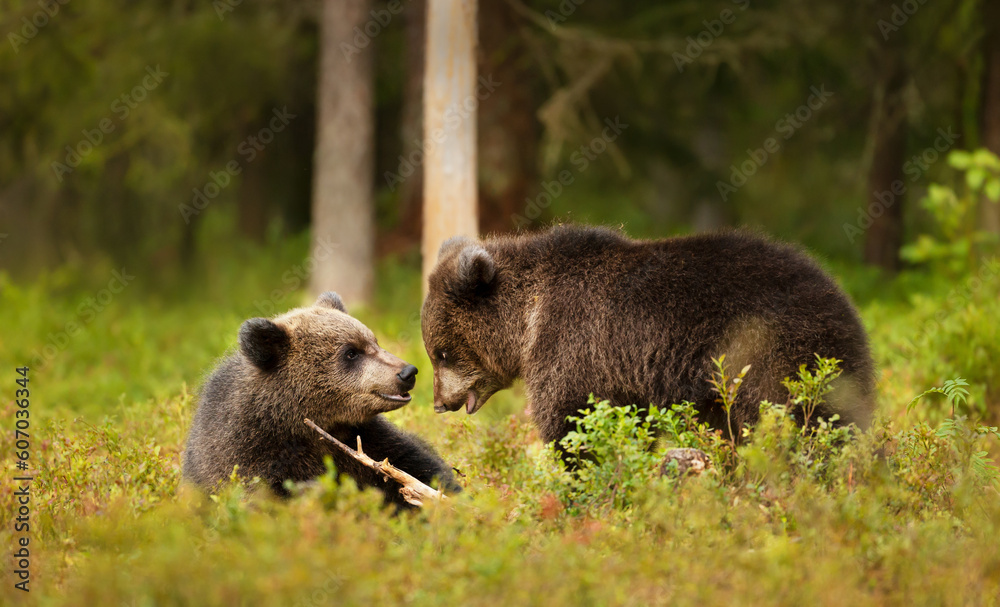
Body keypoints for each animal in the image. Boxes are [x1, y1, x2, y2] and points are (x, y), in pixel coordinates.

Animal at [183, 291, 460, 507]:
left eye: (374, 341)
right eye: (350, 353)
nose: (407, 372)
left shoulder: (366, 439)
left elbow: (417, 467)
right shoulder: (249, 452)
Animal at [421, 224, 876, 446]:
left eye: (441, 353)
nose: (439, 402)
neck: (528, 319)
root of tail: (841, 298)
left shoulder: (573, 344)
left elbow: (572, 419)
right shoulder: (626, 375)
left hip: (770, 354)